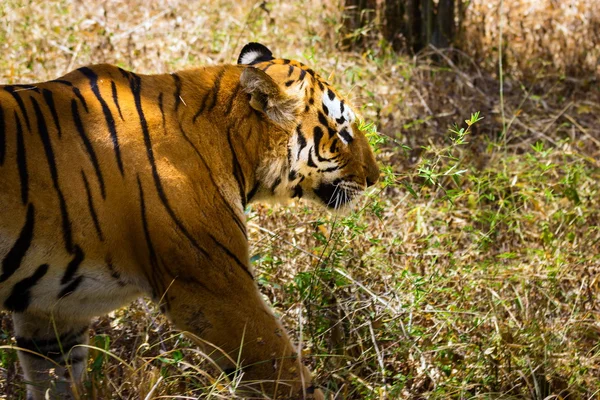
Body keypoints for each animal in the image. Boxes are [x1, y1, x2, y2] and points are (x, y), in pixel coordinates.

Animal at [0, 42, 380, 398]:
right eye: (343, 133)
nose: (375, 178)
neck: (231, 144)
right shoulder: (216, 289)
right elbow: (283, 372)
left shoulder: (53, 310)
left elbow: (55, 380)